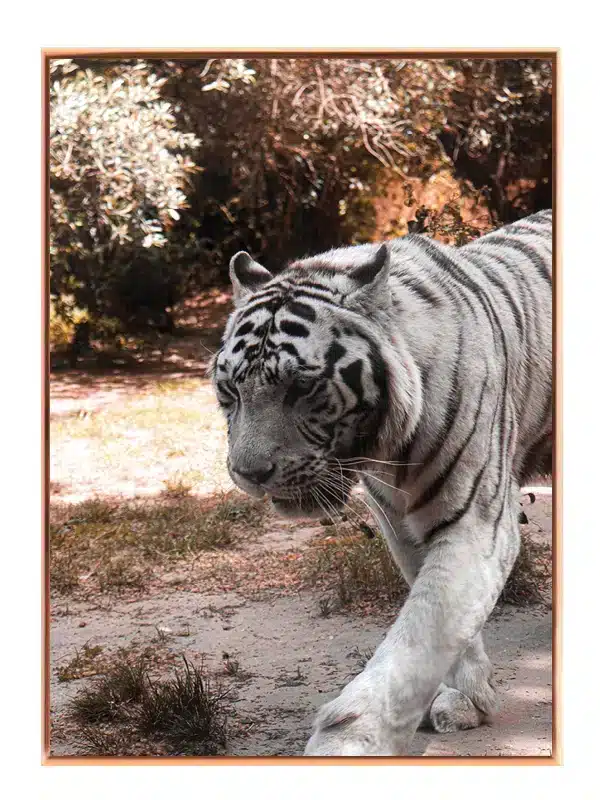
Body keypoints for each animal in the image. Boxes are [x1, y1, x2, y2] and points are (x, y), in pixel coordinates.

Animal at [211, 209, 552, 756]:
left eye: (302, 387)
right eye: (229, 390)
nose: (248, 474)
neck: (390, 449)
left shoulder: (476, 525)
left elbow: (419, 636)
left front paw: (349, 742)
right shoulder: (402, 526)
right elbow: (447, 627)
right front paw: (471, 698)